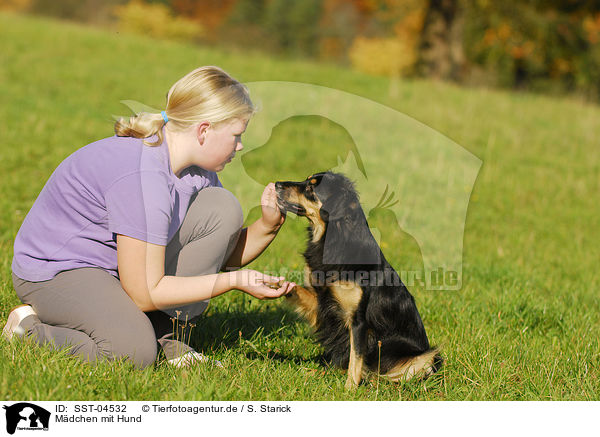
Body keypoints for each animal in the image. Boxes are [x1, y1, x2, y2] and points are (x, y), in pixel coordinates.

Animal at [276, 172, 440, 386]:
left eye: (311, 188)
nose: (277, 184)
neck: (333, 239)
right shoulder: (321, 302)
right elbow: (296, 289)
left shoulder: (357, 319)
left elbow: (356, 357)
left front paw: (349, 388)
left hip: (426, 356)